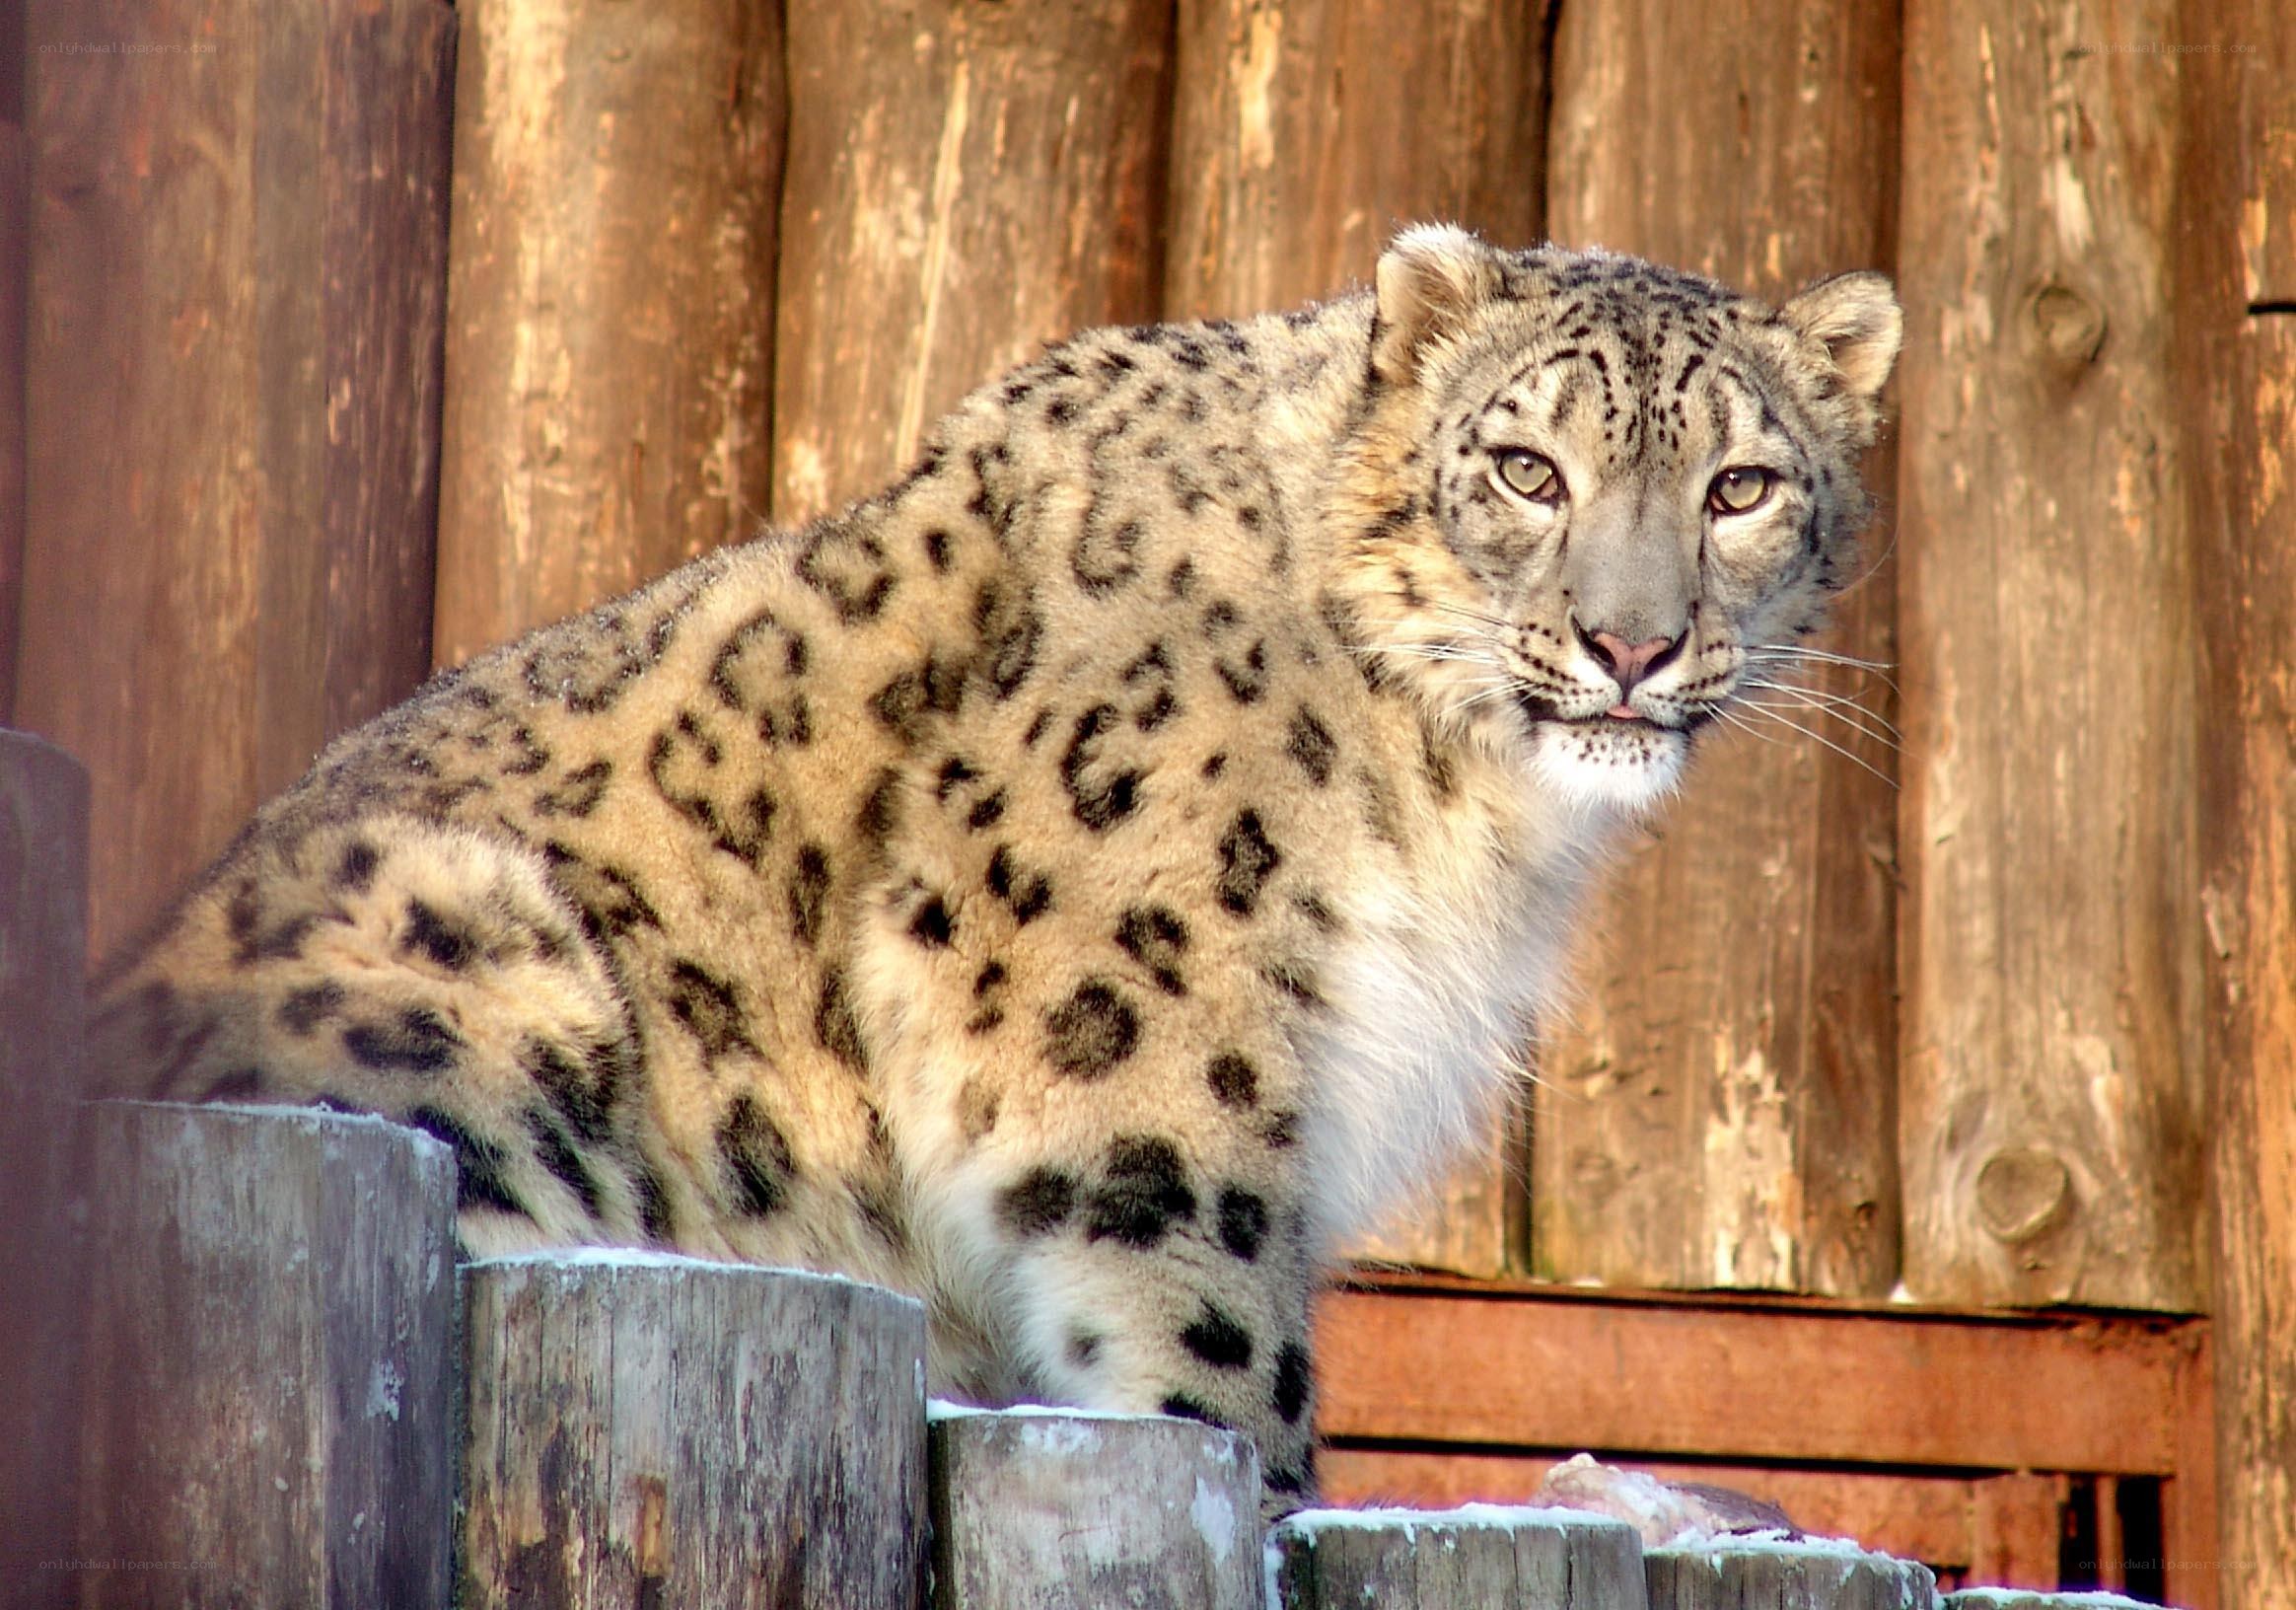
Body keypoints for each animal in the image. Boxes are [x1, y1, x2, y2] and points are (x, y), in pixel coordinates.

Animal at [89, 224, 1901, 1512]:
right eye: (1527, 466)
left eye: (1740, 486)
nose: (1629, 645)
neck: (1474, 825)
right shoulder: (1151, 1033)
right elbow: (1211, 1330)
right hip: (469, 944)